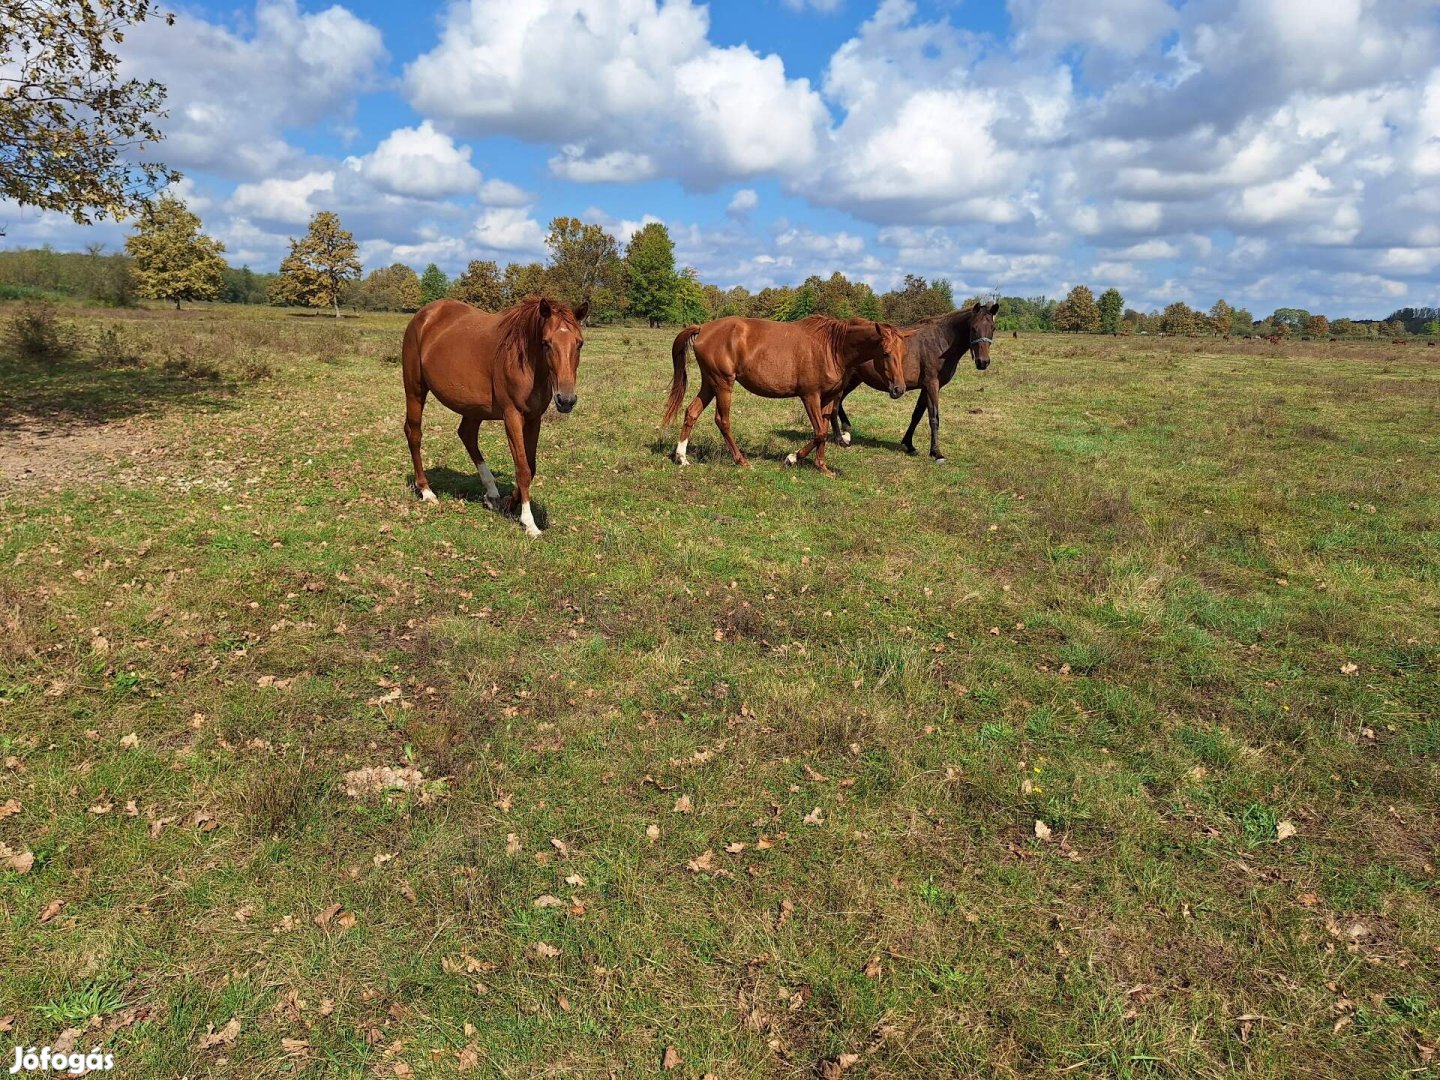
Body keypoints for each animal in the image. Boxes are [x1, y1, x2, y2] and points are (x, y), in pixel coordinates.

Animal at [400, 296, 584, 538]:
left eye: (579, 343)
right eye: (546, 342)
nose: (566, 400)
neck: (526, 363)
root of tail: (424, 316)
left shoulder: (534, 419)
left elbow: (531, 466)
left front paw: (509, 504)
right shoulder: (512, 416)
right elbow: (523, 469)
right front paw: (529, 522)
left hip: (473, 407)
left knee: (467, 435)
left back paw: (491, 493)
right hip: (415, 391)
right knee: (414, 434)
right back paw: (426, 491)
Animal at [662, 316, 910, 478]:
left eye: (903, 353)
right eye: (886, 353)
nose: (899, 389)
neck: (833, 347)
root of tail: (703, 328)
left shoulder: (828, 398)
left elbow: (824, 430)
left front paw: (822, 467)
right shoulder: (810, 396)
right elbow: (820, 432)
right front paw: (791, 459)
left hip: (710, 383)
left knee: (691, 412)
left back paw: (681, 457)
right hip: (723, 383)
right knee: (722, 421)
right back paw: (741, 460)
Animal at [835, 300, 1002, 466]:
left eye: (993, 328)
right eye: (973, 328)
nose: (983, 362)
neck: (941, 342)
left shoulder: (926, 387)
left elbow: (917, 415)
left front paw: (908, 445)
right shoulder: (932, 385)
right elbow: (934, 418)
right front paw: (937, 453)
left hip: (854, 380)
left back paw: (845, 431)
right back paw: (843, 434)